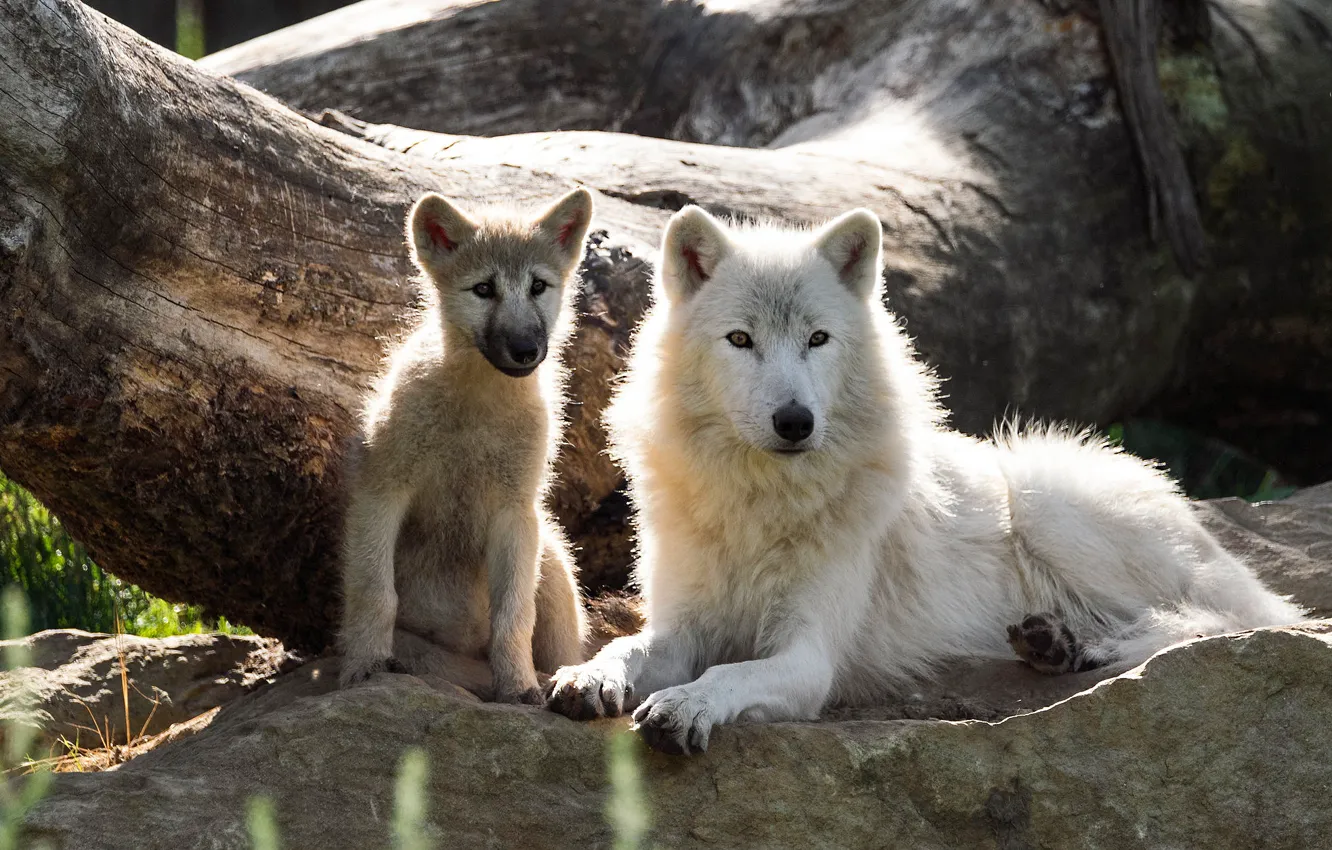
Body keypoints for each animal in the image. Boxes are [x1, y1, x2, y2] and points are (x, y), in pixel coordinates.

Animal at [337, 187, 594, 702]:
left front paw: (518, 688)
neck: (477, 411)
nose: (525, 351)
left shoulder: (516, 514)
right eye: (483, 289)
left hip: (552, 554)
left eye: (538, 287)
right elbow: (375, 593)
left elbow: (513, 617)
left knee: (564, 652)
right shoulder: (382, 492)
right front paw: (364, 666)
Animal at [545, 204, 1306, 753]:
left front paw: (687, 704)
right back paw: (1057, 644)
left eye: (817, 339)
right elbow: (625, 645)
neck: (760, 503)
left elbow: (730, 672)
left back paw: (1090, 644)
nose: (795, 421)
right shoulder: (681, 626)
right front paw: (589, 675)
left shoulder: (809, 656)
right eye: (740, 339)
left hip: (1047, 502)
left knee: (1230, 621)